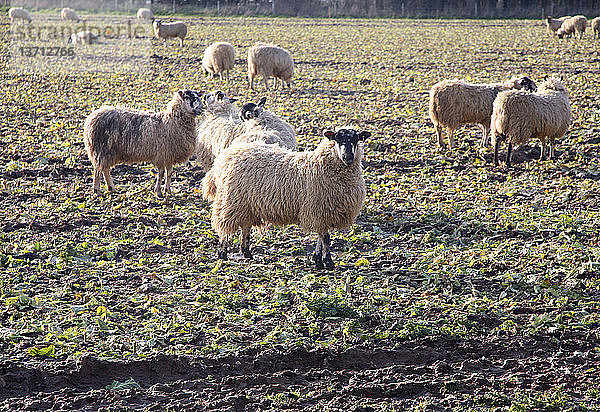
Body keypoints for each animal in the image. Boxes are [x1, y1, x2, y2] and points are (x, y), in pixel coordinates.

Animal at [204, 129, 368, 270]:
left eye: (356, 139)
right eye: (337, 139)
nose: (348, 157)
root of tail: (224, 157)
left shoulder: (324, 212)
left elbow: (321, 238)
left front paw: (318, 259)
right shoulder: (318, 209)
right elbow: (325, 238)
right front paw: (327, 262)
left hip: (246, 205)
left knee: (245, 227)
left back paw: (246, 253)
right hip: (230, 200)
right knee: (225, 226)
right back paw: (222, 254)